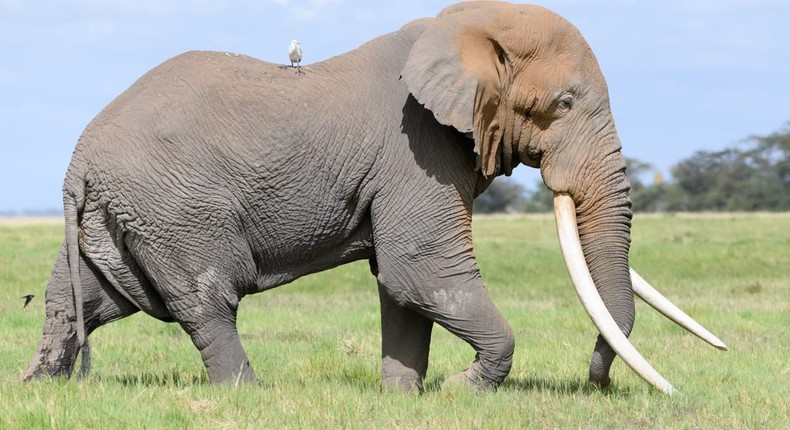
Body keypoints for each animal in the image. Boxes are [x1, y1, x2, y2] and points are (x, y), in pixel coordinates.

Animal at [21, 1, 728, 394]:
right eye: (564, 105)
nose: (596, 379)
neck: (461, 26)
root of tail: (78, 161)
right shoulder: (417, 149)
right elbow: (422, 272)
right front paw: (462, 391)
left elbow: (402, 284)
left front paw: (403, 398)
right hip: (176, 210)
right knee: (206, 299)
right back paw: (246, 397)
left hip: (119, 216)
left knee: (86, 298)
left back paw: (38, 386)